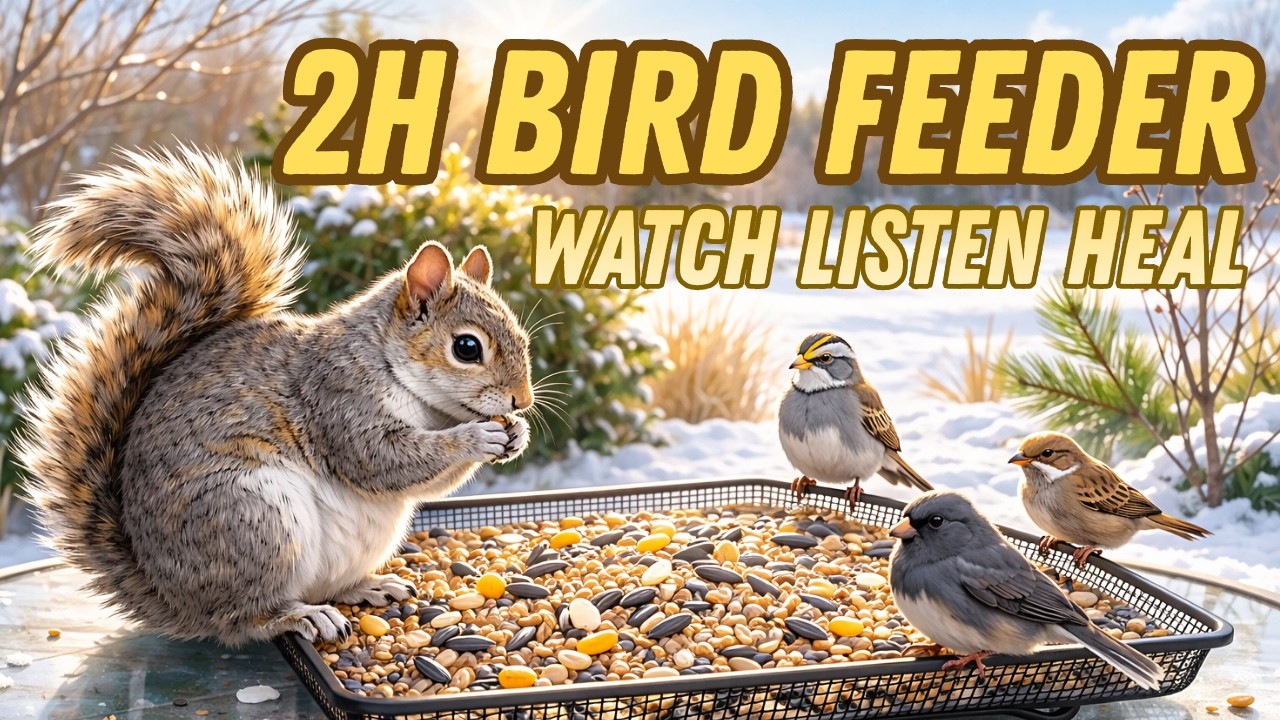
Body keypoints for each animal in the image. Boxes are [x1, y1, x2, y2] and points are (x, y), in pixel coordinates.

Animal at [16, 147, 534, 645]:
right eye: (466, 348)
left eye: (522, 337)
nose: (522, 402)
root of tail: (174, 600)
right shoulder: (338, 397)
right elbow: (382, 460)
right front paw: (477, 439)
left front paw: (517, 436)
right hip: (254, 518)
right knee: (244, 617)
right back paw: (299, 617)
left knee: (322, 587)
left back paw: (368, 586)